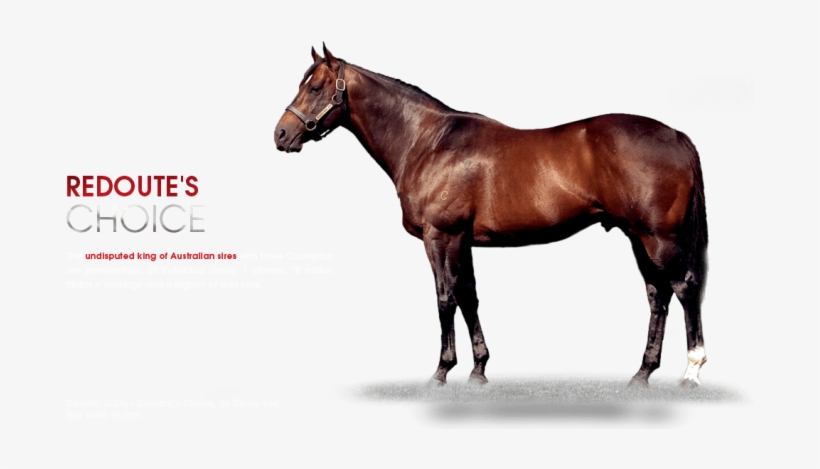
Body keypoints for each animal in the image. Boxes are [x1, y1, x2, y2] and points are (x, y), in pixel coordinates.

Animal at [274, 45, 709, 389]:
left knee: (685, 288)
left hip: (658, 237)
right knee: (657, 296)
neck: (427, 142)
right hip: (638, 237)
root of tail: (676, 135)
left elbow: (445, 298)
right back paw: (642, 373)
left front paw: (441, 371)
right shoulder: (462, 240)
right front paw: (478, 370)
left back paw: (691, 371)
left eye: (315, 88)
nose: (280, 135)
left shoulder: (440, 236)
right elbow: (469, 296)